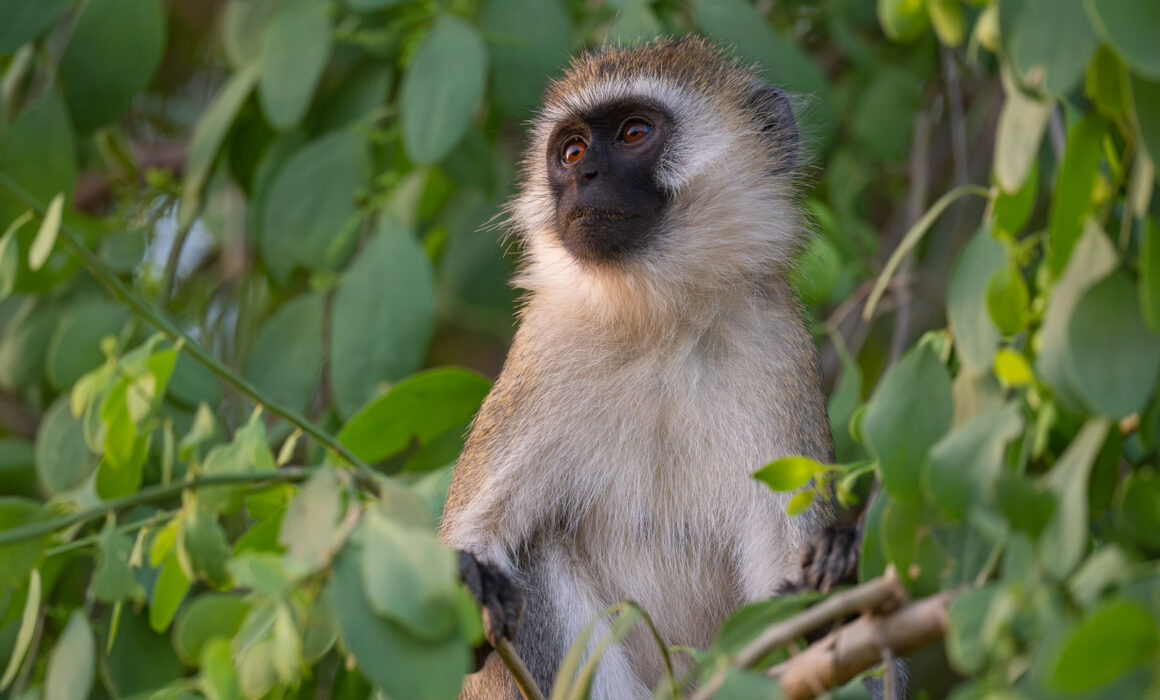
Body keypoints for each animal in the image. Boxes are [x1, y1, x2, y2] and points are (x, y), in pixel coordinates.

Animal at [439, 37, 864, 699]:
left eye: (634, 132)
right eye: (572, 150)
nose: (583, 177)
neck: (659, 321)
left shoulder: (777, 348)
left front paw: (835, 579)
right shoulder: (541, 351)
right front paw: (470, 582)